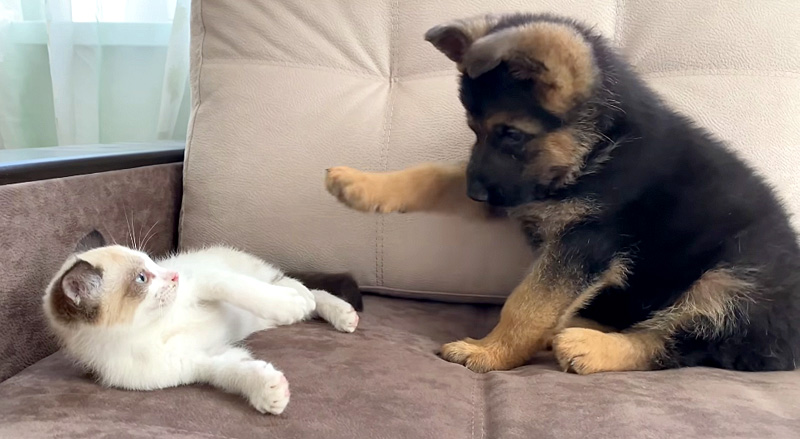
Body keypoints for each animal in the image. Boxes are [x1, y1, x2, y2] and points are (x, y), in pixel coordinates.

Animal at [40, 232, 360, 414]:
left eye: (152, 261)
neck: (153, 327)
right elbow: (230, 370)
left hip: (254, 272)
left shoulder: (204, 281)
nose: (174, 275)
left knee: (295, 286)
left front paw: (288, 305)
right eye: (142, 278)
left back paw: (318, 304)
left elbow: (240, 289)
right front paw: (268, 390)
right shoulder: (196, 362)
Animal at [324, 12, 800, 374]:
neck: (600, 148)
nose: (476, 195)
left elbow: (528, 304)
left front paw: (490, 352)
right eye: (474, 130)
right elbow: (436, 175)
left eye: (510, 133)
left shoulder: (585, 239)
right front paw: (362, 184)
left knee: (682, 341)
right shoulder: (518, 195)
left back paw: (592, 346)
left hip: (731, 282)